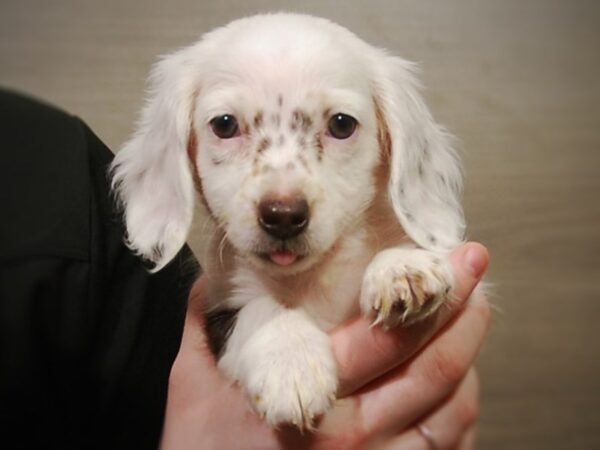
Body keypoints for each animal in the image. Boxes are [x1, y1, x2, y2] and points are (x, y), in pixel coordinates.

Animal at [111, 13, 464, 428]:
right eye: (225, 125)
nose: (282, 216)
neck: (309, 281)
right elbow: (258, 309)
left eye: (342, 124)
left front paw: (401, 267)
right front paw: (289, 360)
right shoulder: (218, 308)